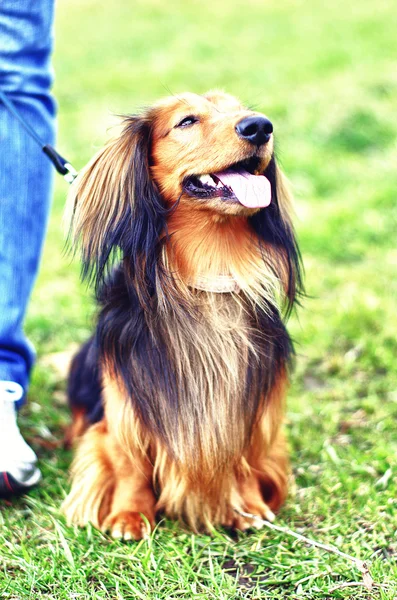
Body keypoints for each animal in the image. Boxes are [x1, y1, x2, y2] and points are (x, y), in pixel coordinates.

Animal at [63, 91, 302, 540]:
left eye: (240, 108)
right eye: (186, 121)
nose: (260, 126)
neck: (209, 275)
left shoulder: (250, 402)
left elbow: (245, 453)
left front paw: (247, 506)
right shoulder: (124, 403)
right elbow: (128, 461)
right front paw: (129, 515)